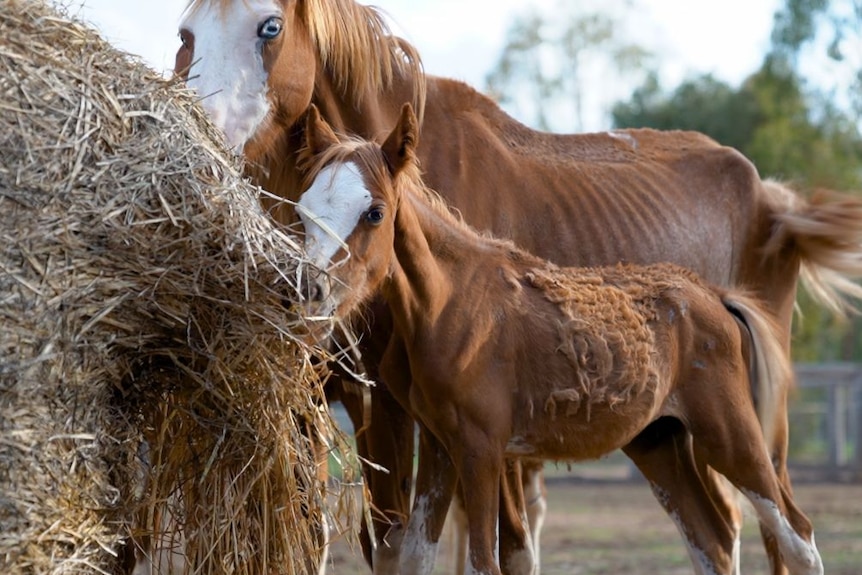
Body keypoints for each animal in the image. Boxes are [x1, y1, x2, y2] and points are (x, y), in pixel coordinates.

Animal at [296, 107, 824, 575]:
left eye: (374, 212)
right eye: (303, 209)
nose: (310, 289)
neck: (450, 303)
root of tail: (714, 296)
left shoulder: (481, 449)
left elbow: (485, 563)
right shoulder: (440, 446)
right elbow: (414, 558)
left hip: (731, 436)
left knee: (798, 537)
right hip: (659, 441)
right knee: (710, 541)